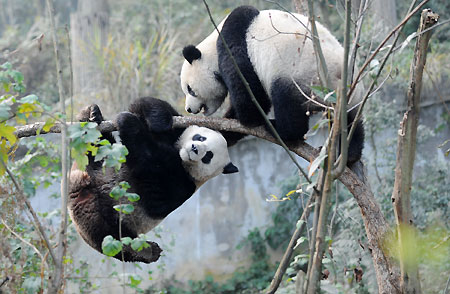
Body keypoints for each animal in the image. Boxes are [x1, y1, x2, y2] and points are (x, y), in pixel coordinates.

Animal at [68, 97, 237, 264]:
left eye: (208, 156)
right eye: (200, 137)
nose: (194, 148)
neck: (181, 156)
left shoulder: (183, 184)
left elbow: (155, 193)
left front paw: (128, 121)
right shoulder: (175, 132)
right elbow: (147, 105)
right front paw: (158, 121)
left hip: (102, 218)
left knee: (114, 239)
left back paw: (147, 252)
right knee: (98, 148)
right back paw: (91, 116)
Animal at [180, 4, 366, 164]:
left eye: (190, 89)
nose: (188, 109)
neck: (213, 44)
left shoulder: (235, 44)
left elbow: (252, 100)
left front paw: (243, 120)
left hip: (305, 76)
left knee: (285, 99)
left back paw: (279, 129)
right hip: (349, 95)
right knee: (350, 122)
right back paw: (349, 153)